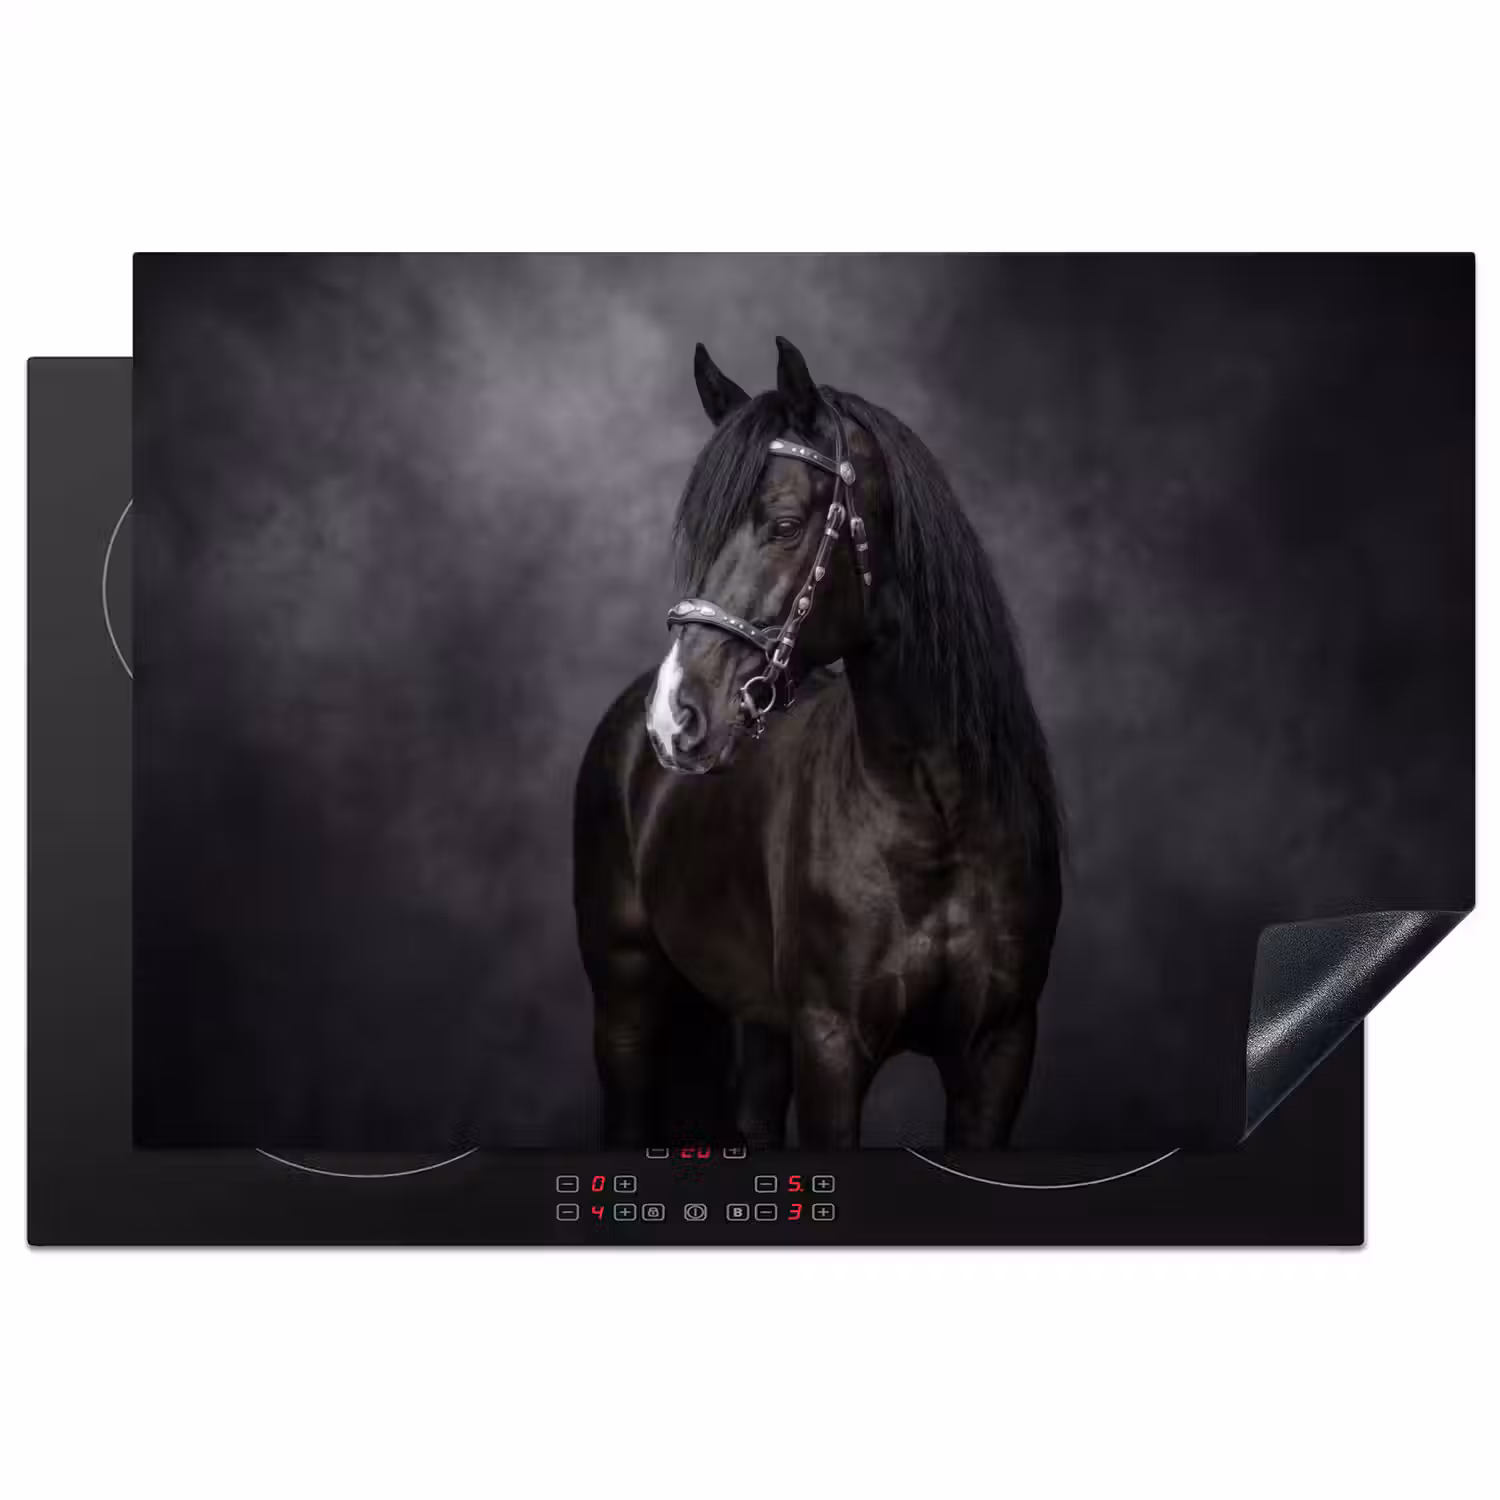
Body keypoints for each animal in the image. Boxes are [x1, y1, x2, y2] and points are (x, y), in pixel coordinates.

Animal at [573, 336, 1061, 1149]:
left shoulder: (1000, 1049)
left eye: (783, 524)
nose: (675, 716)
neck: (937, 815)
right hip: (626, 1007)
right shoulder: (831, 1043)